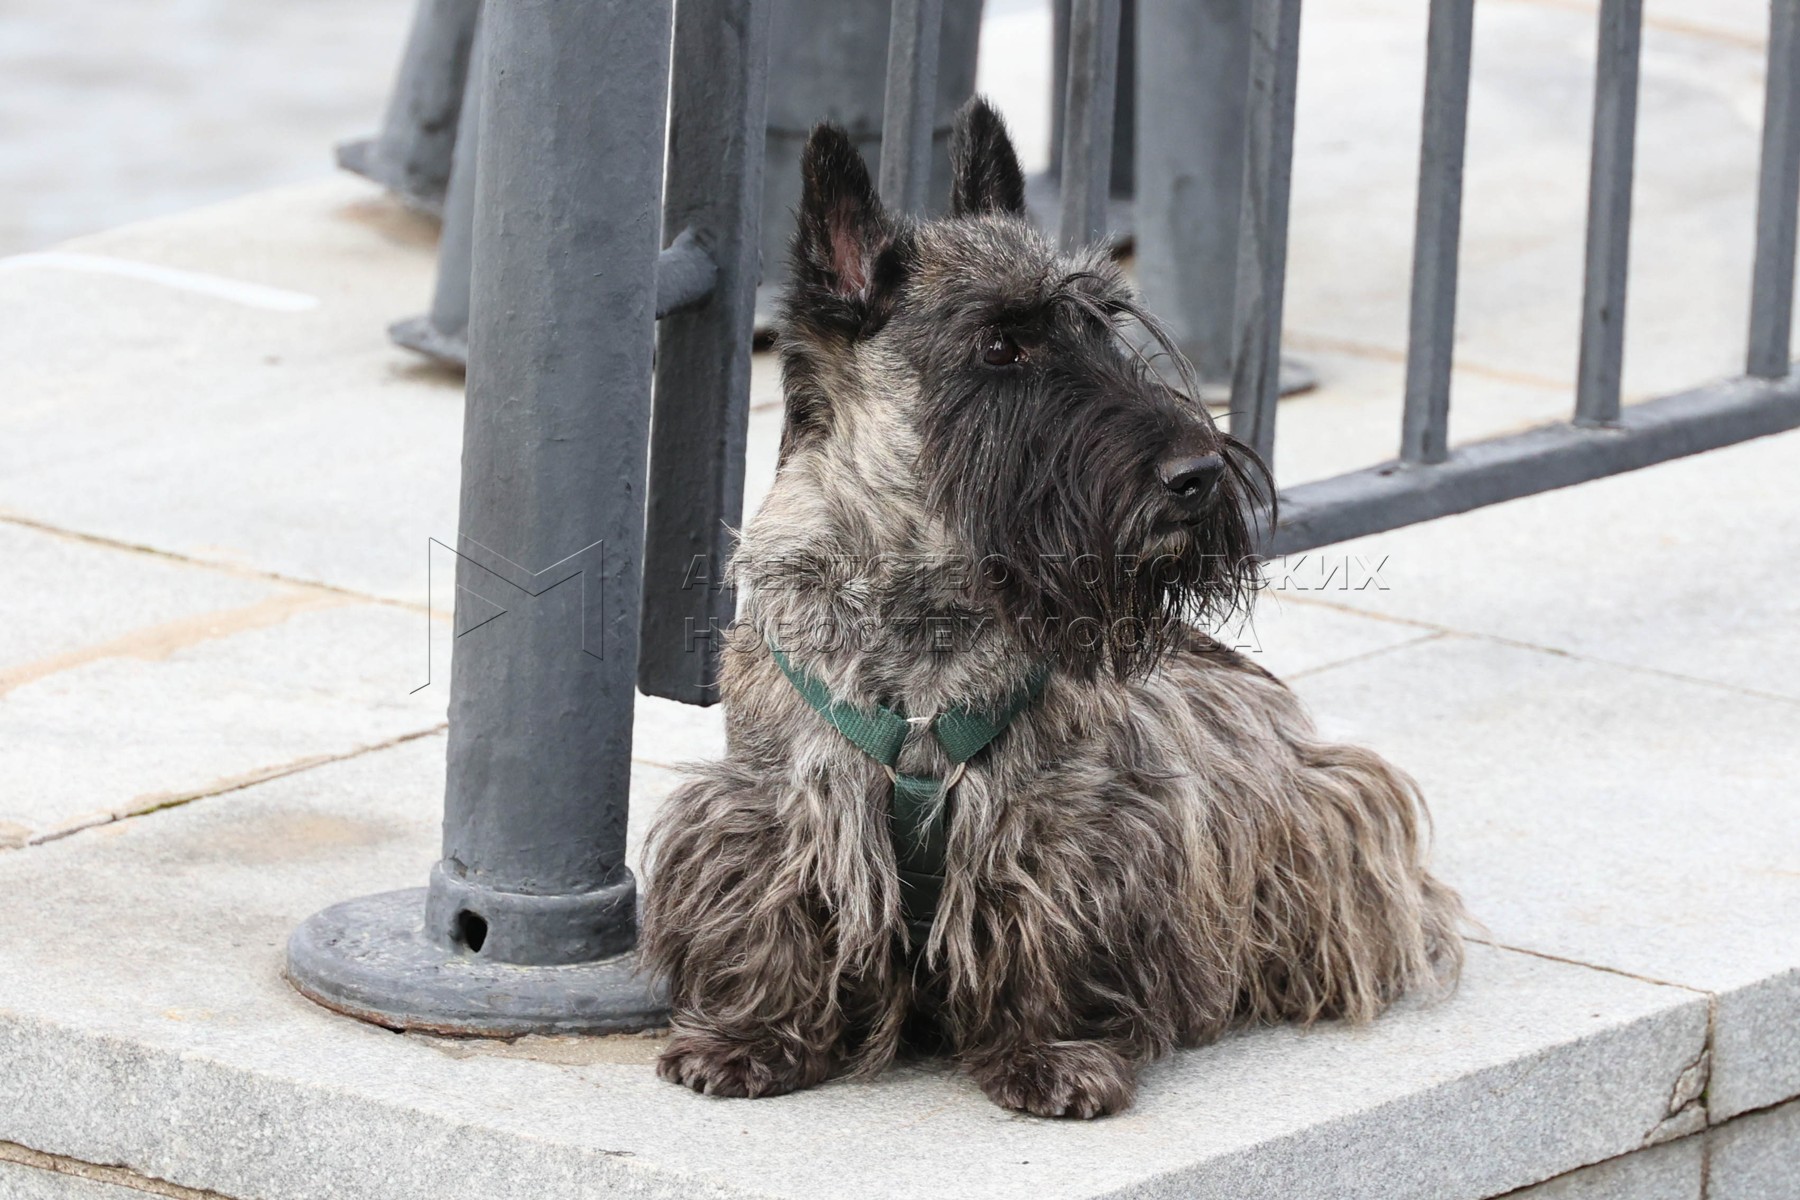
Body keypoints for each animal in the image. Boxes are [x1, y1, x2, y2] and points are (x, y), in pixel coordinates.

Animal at [642, 98, 1463, 1119]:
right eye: (1001, 345)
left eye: (1105, 328)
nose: (1197, 476)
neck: (929, 601)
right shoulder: (776, 803)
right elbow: (774, 912)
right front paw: (752, 1037)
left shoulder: (1066, 823)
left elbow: (1051, 935)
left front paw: (1051, 1053)